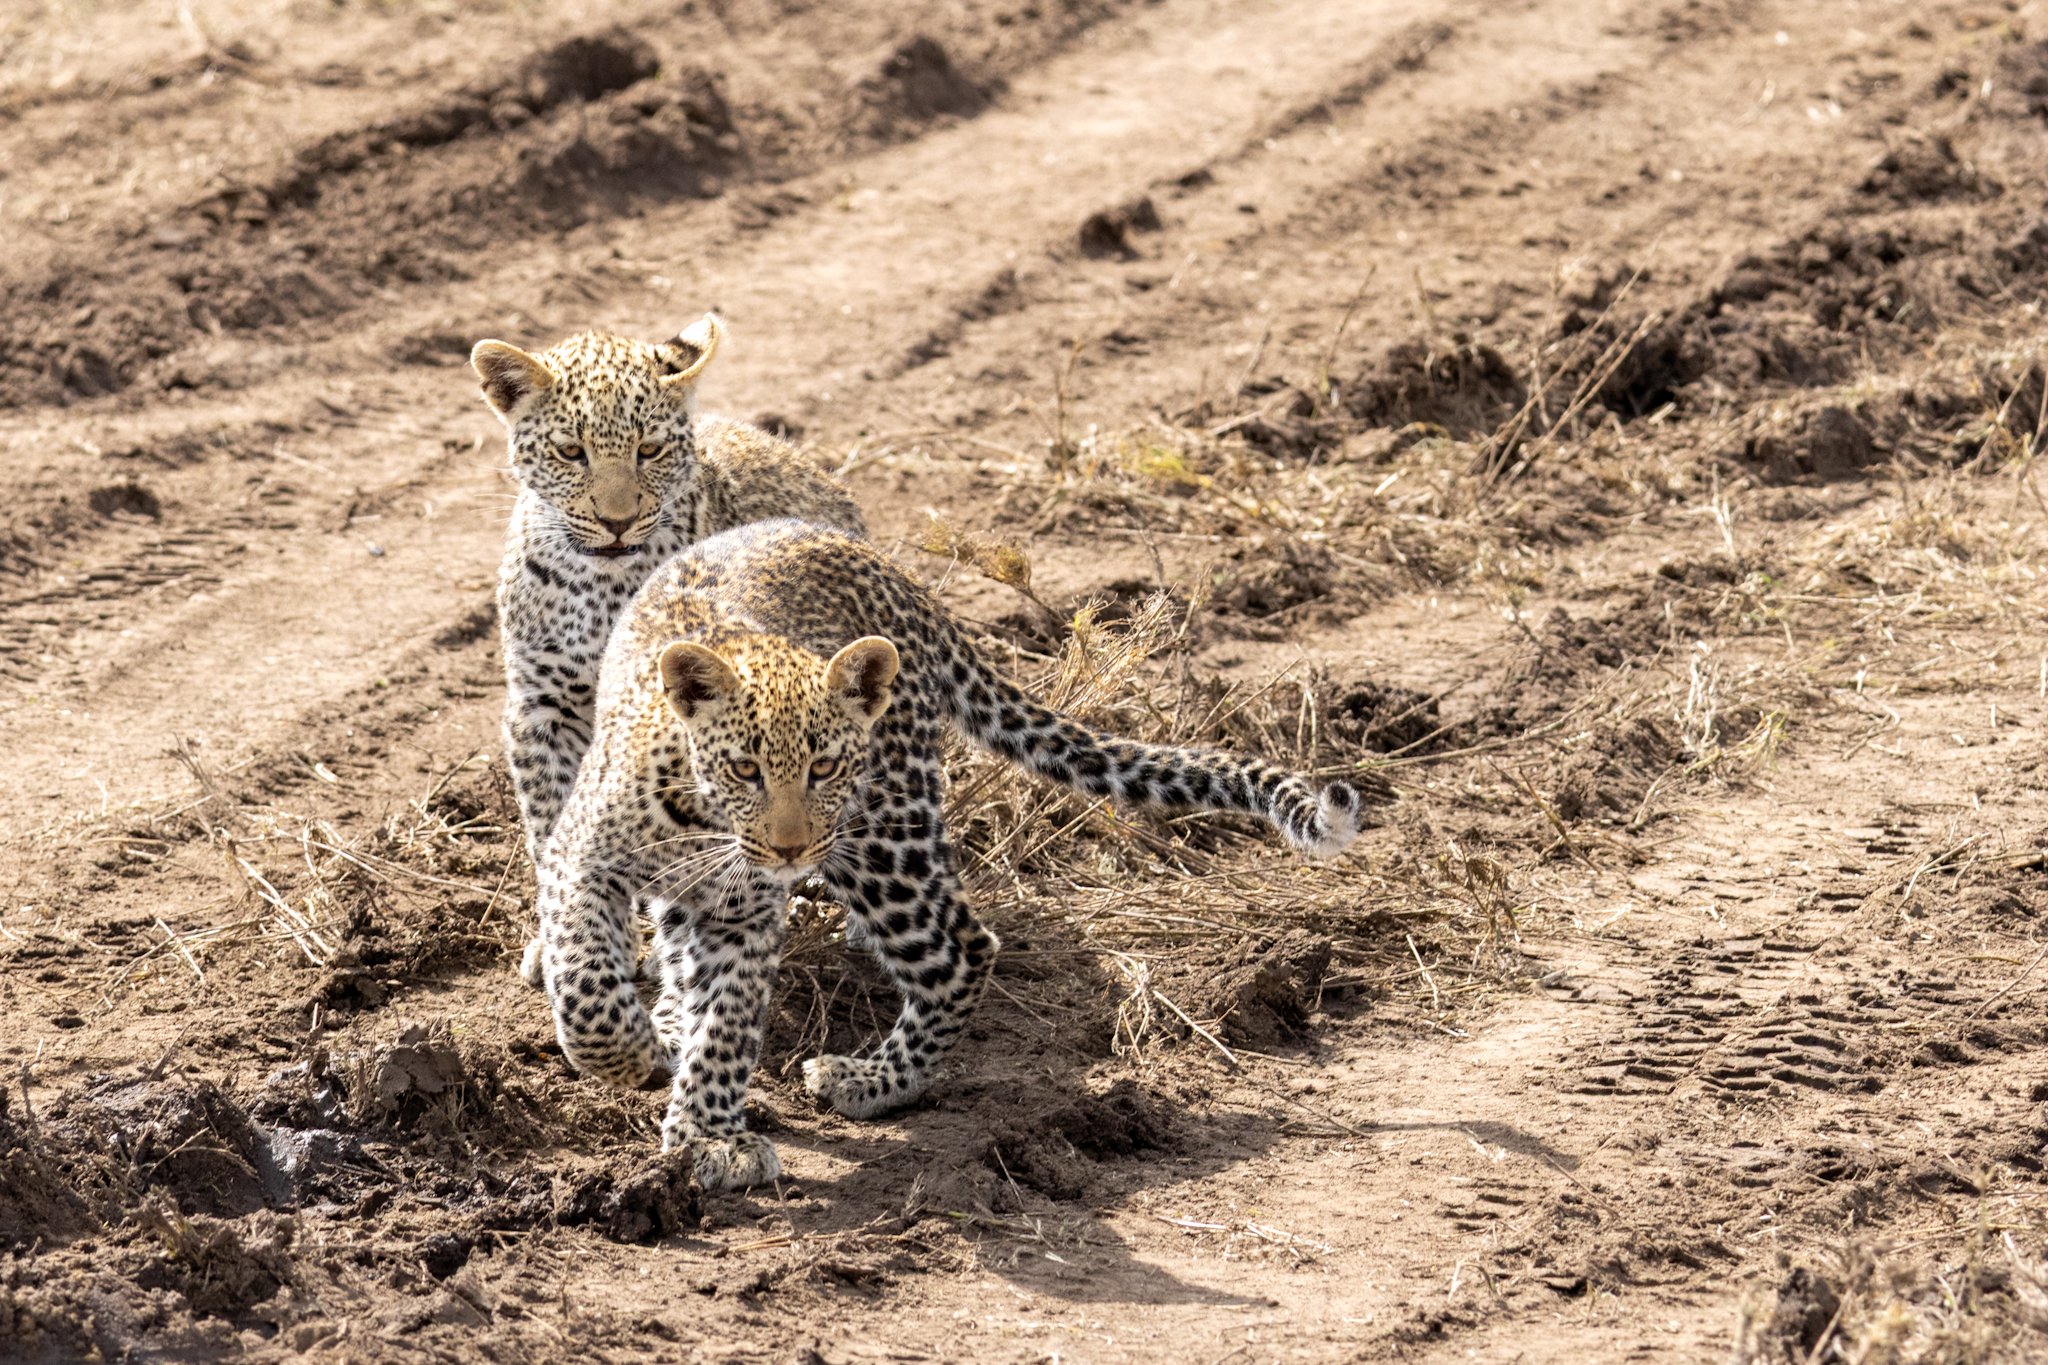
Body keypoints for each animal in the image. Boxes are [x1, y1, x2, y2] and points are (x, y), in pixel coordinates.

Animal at [469, 316, 866, 985]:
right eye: (570, 452)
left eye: (649, 450)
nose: (617, 522)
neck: (597, 587)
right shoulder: (542, 709)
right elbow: (551, 828)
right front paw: (561, 938)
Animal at [531, 519, 1361, 1191]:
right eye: (744, 768)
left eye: (824, 766)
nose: (790, 848)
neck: (704, 819)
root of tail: (899, 578)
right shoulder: (582, 863)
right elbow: (589, 988)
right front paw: (638, 1052)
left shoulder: (747, 914)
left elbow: (728, 1023)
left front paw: (707, 1131)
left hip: (882, 831)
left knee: (964, 946)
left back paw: (870, 1079)